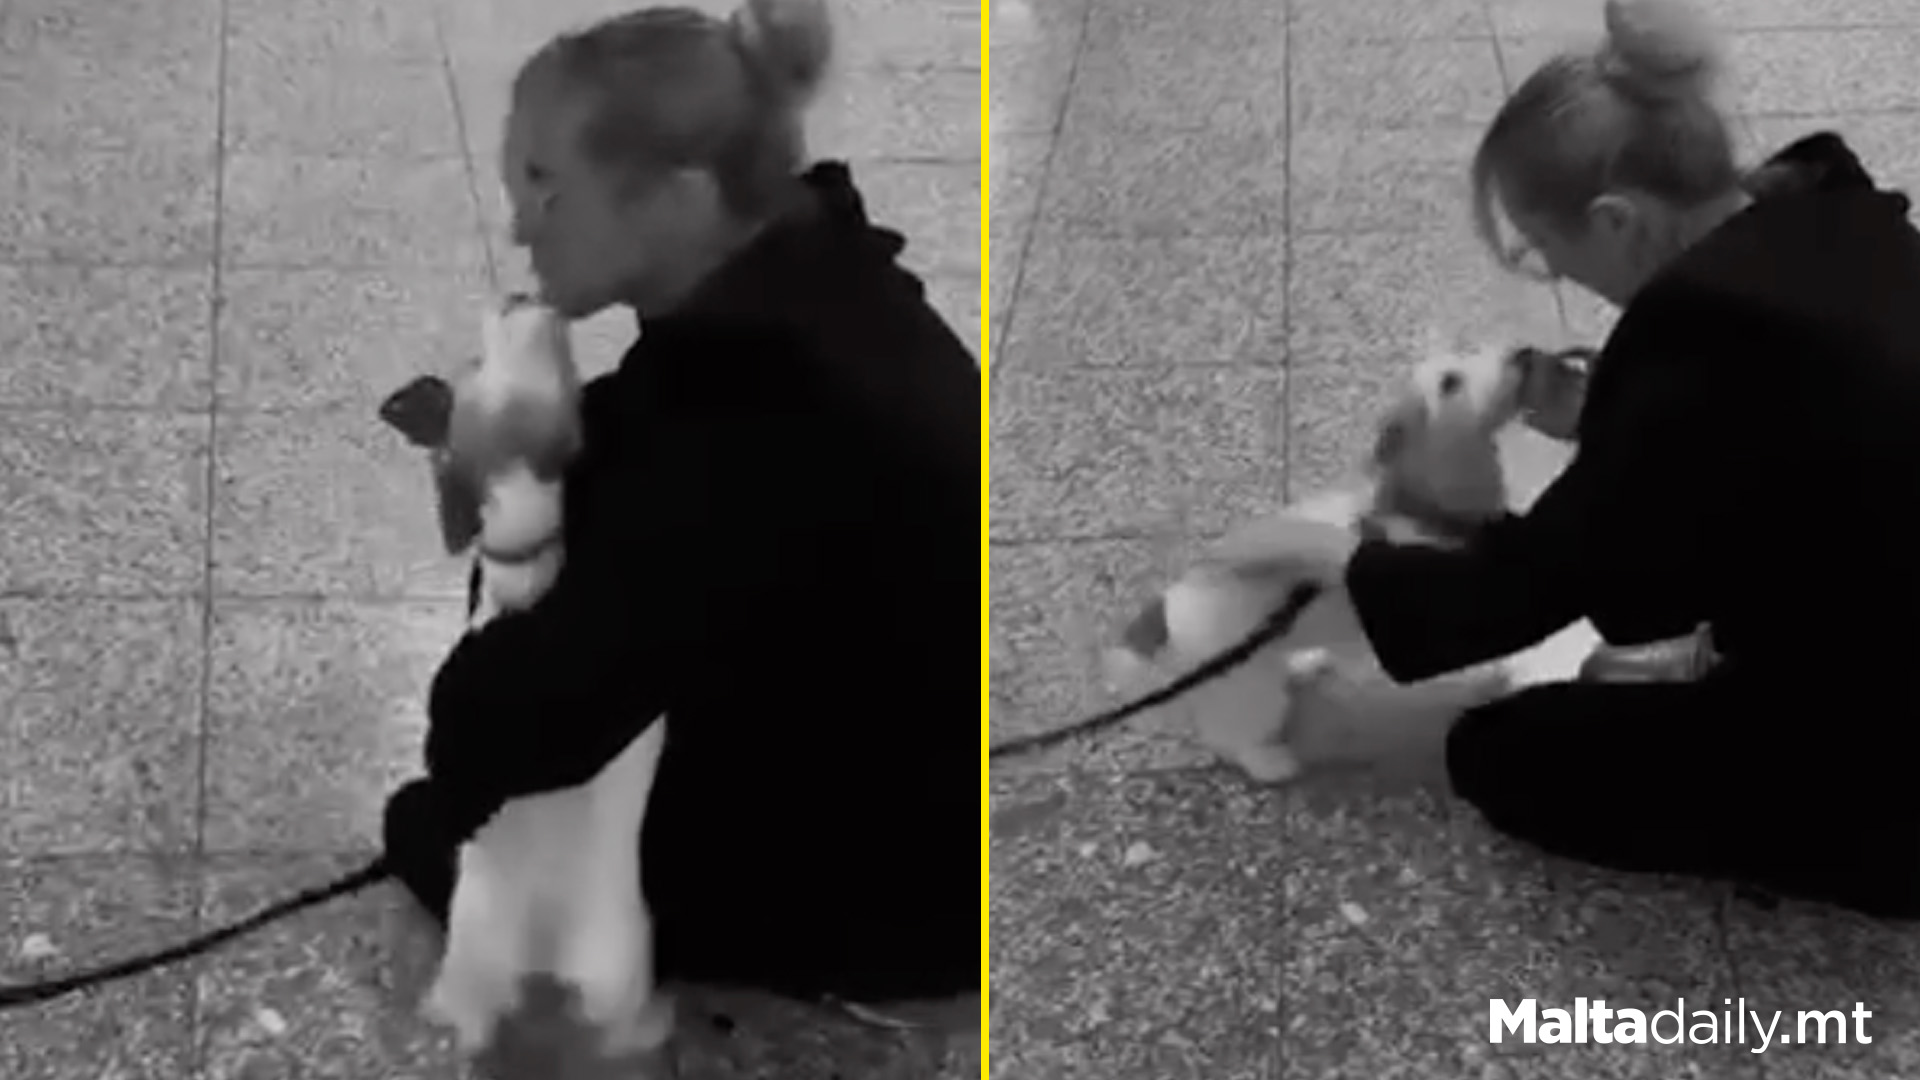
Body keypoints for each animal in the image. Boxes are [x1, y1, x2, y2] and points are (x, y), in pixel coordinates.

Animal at [1105, 343, 1720, 780]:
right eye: (1449, 382)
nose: (1523, 353)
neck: (1436, 500)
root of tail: (1170, 603)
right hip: (1244, 686)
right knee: (1235, 732)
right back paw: (1269, 762)